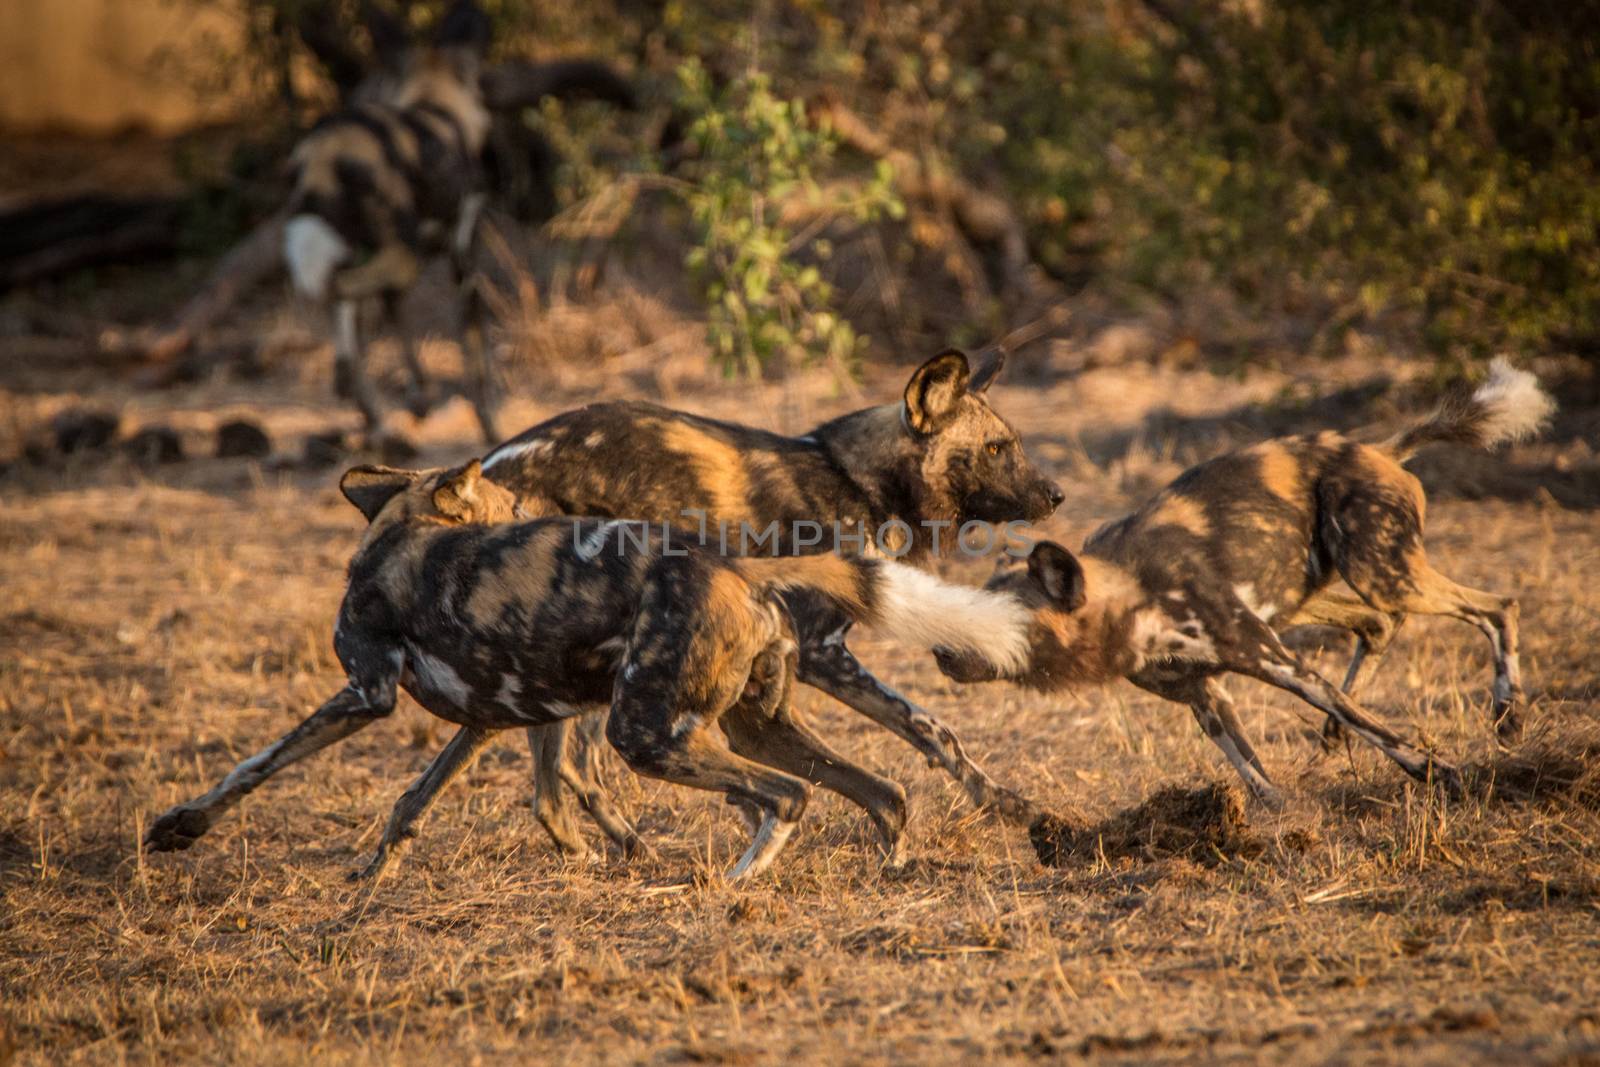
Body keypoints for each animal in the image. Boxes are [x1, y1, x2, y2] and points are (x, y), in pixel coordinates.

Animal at [140, 463, 1036, 883]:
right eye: (511, 505)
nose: (548, 512)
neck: (399, 535)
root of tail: (739, 567)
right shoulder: (493, 717)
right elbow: (414, 801)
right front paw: (372, 872)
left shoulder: (364, 695)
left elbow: (255, 764)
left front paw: (183, 824)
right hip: (750, 725)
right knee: (879, 791)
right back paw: (886, 865)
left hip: (646, 732)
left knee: (786, 796)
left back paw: (732, 883)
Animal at [278, 1, 496, 441]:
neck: (435, 103)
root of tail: (327, 152)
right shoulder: (463, 253)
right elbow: (474, 350)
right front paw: (489, 427)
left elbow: (397, 317)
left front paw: (419, 391)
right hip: (402, 253)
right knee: (341, 290)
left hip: (361, 247)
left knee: (347, 306)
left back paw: (367, 403)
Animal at [476, 350, 1075, 857]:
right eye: (994, 449)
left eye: (1014, 444)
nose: (1056, 496)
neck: (860, 484)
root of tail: (490, 464)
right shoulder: (820, 650)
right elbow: (925, 726)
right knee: (576, 766)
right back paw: (633, 848)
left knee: (554, 777)